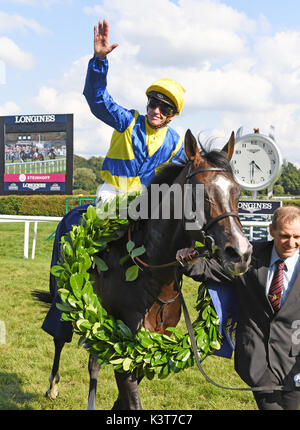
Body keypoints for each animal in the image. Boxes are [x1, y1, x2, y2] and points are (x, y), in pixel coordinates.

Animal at [38, 130, 252, 410]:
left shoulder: (146, 347)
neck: (152, 276)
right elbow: (131, 397)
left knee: (93, 361)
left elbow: (125, 394)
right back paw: (52, 386)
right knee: (58, 339)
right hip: (64, 297)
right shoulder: (124, 342)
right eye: (200, 192)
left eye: (237, 192)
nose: (240, 252)